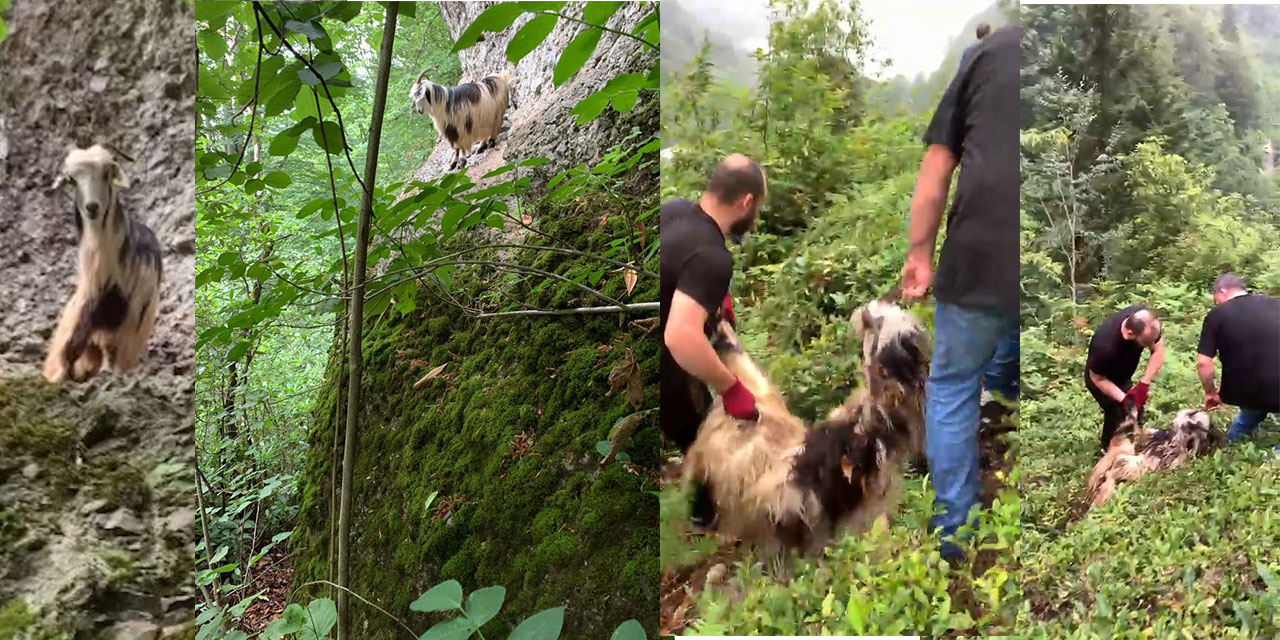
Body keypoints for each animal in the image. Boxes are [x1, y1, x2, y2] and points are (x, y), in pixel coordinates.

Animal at [40, 143, 161, 381]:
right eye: (71, 179)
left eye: (106, 173)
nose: (92, 207)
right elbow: (70, 349)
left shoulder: (129, 316)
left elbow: (111, 352)